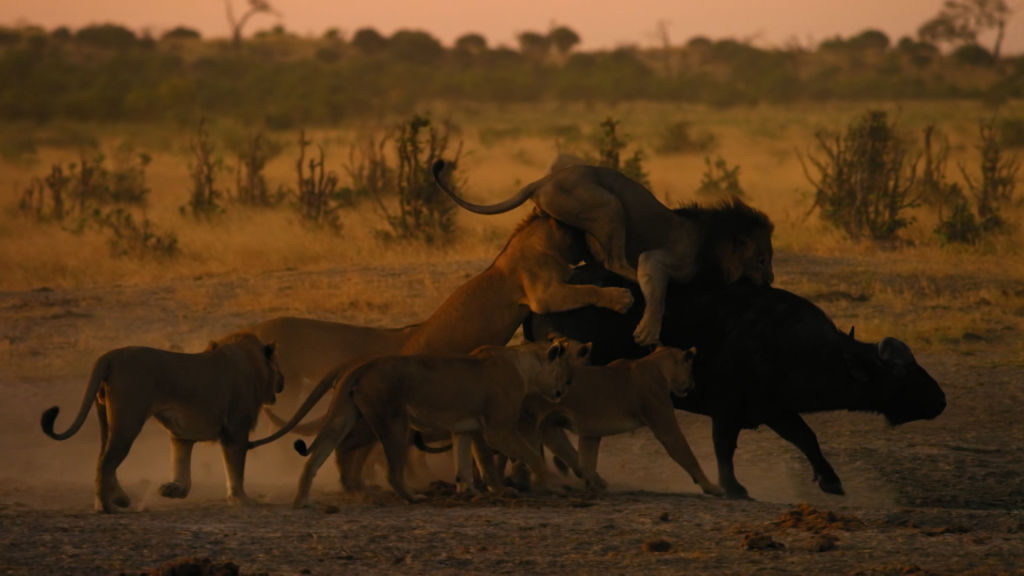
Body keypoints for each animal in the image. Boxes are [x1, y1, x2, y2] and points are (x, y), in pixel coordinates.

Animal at [40, 332, 284, 510]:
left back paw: (119, 499)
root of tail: (110, 356)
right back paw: (105, 506)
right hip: (127, 422)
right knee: (106, 461)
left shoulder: (181, 435)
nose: (283, 381)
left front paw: (173, 489)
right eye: (278, 366)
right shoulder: (235, 431)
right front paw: (242, 500)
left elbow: (181, 465)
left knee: (103, 458)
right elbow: (235, 468)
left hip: (106, 420)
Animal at [432, 158, 774, 342]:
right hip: (608, 205)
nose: (771, 281)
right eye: (761, 259)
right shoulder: (668, 258)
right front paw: (648, 330)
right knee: (615, 262)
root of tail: (540, 182)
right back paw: (629, 286)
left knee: (600, 258)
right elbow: (658, 291)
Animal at [524, 342, 724, 496]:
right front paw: (711, 487)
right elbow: (689, 456)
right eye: (690, 369)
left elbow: (587, 460)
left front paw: (592, 487)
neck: (656, 364)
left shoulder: (590, 431)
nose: (693, 386)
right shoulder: (666, 427)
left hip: (548, 428)